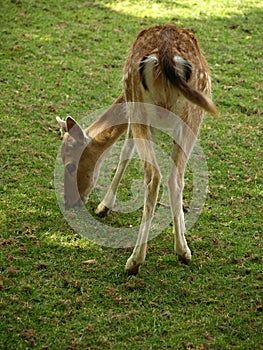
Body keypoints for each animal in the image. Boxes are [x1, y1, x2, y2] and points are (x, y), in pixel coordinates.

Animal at [56, 23, 218, 276]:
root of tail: (165, 56)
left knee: (156, 175)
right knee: (172, 176)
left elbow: (125, 150)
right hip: (191, 113)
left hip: (148, 108)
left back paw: (136, 260)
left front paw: (104, 206)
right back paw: (178, 252)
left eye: (70, 165)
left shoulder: (133, 110)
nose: (69, 201)